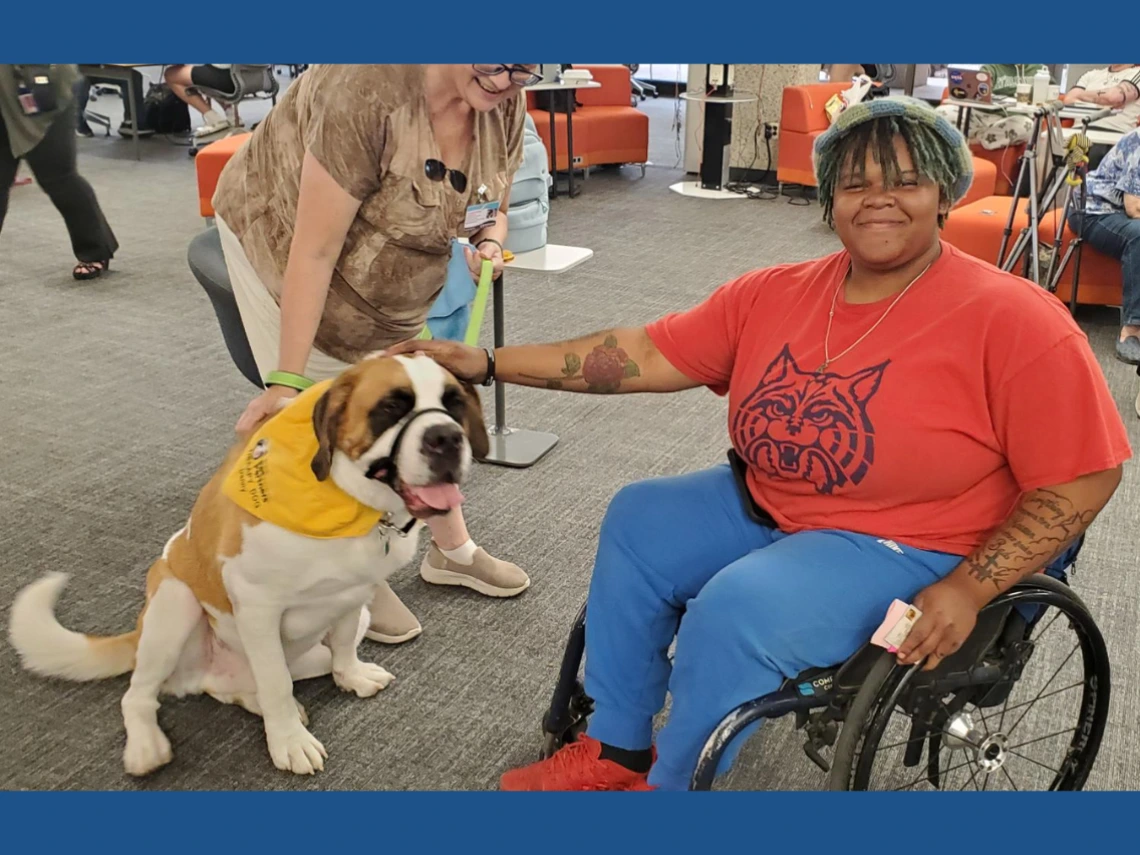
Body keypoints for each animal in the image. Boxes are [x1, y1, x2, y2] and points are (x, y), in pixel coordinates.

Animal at [8, 353, 490, 775]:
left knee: (237, 688)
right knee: (140, 694)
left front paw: (350, 676)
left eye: (453, 403)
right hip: (174, 603)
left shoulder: (356, 595)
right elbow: (275, 680)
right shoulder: (258, 607)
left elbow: (344, 642)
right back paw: (148, 745)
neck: (349, 504)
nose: (447, 437)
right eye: (392, 407)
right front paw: (289, 743)